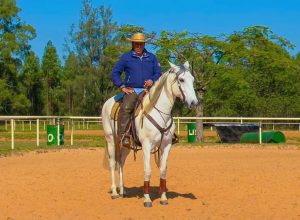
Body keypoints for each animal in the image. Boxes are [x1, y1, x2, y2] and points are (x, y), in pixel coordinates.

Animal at [102, 61, 198, 207]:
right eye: (181, 80)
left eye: (192, 79)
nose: (194, 102)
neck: (159, 112)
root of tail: (108, 102)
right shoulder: (146, 146)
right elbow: (147, 171)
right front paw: (147, 199)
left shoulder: (166, 145)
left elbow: (163, 170)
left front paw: (163, 198)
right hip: (111, 140)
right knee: (113, 163)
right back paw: (114, 192)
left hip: (125, 145)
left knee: (121, 163)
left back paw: (123, 191)